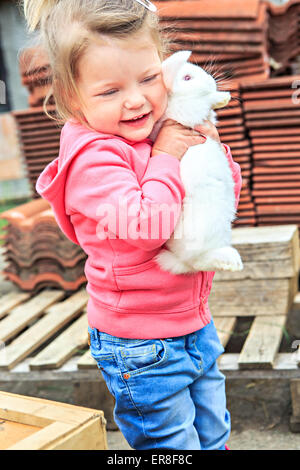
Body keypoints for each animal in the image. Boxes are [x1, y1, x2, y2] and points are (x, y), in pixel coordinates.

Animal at [150, 49, 244, 274]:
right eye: (187, 78)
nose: (211, 81)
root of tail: (179, 258)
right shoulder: (187, 111)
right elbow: (204, 102)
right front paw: (222, 97)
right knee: (199, 261)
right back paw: (232, 261)